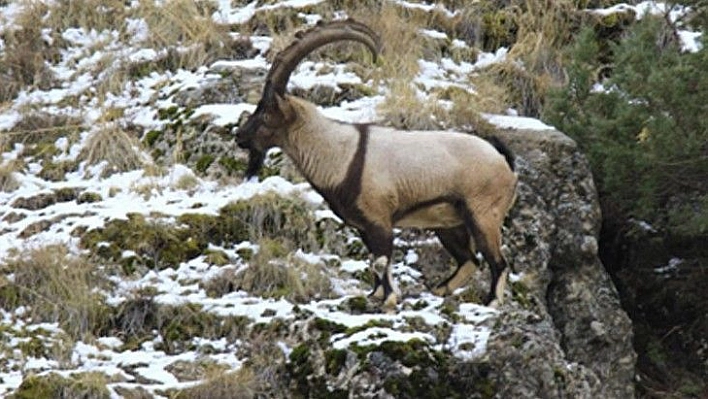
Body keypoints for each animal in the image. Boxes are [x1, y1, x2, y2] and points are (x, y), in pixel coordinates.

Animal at [235, 19, 516, 310]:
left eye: (266, 114)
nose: (239, 136)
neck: (341, 154)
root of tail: (503, 161)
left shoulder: (379, 218)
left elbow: (380, 260)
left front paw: (390, 299)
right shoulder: (363, 226)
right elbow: (373, 261)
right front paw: (376, 295)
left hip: (483, 214)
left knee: (498, 262)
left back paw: (492, 301)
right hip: (449, 223)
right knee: (469, 260)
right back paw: (441, 290)